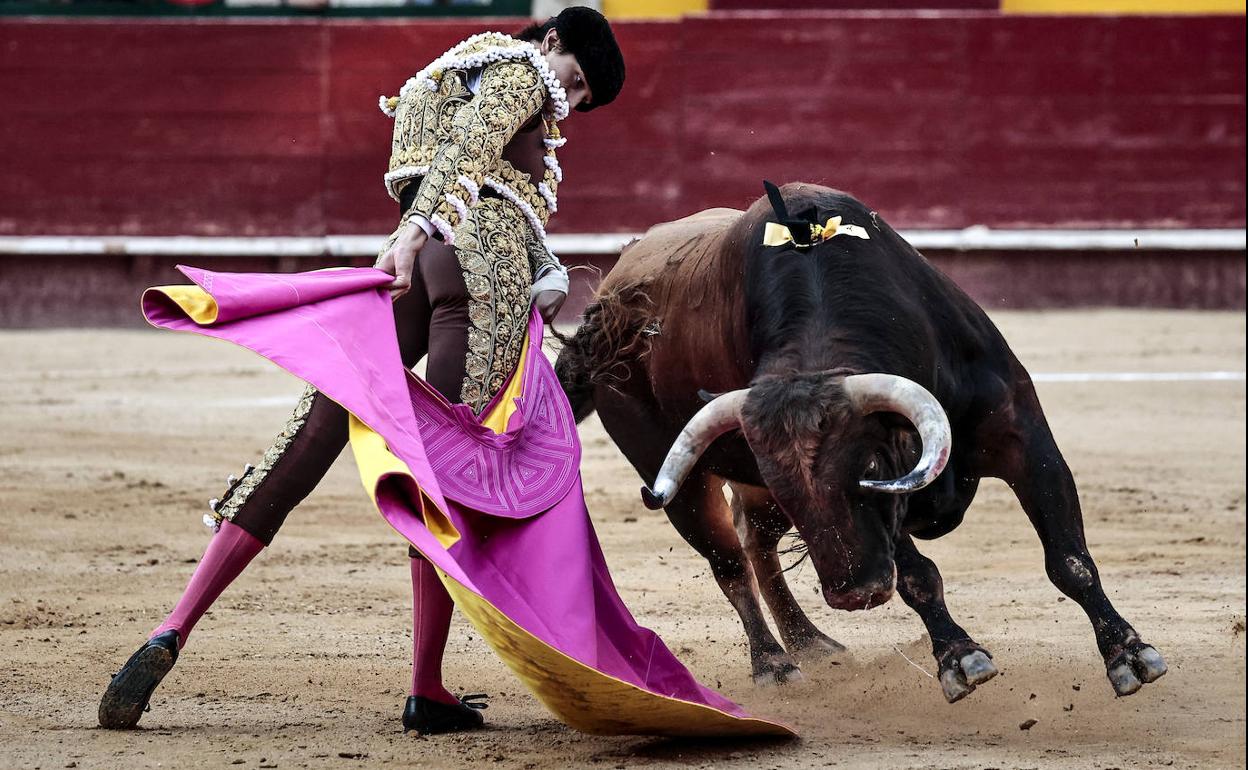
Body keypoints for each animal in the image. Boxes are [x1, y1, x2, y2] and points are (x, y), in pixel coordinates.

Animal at [551, 183, 1163, 698]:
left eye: (868, 466)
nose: (854, 594)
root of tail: (600, 317)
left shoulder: (1023, 437)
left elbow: (1069, 558)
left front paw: (1129, 655)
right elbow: (918, 575)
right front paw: (960, 658)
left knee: (756, 540)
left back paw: (812, 643)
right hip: (674, 475)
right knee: (729, 561)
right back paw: (775, 663)